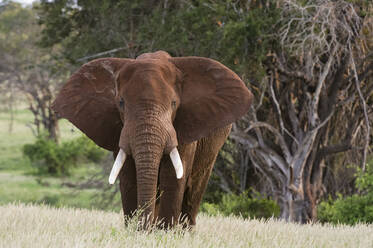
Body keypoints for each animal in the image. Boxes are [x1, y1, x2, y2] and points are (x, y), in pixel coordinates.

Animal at [50, 50, 251, 229]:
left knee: (194, 188)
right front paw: (136, 233)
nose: (143, 227)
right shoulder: (119, 129)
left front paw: (165, 234)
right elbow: (129, 177)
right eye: (121, 103)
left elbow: (174, 177)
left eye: (174, 104)